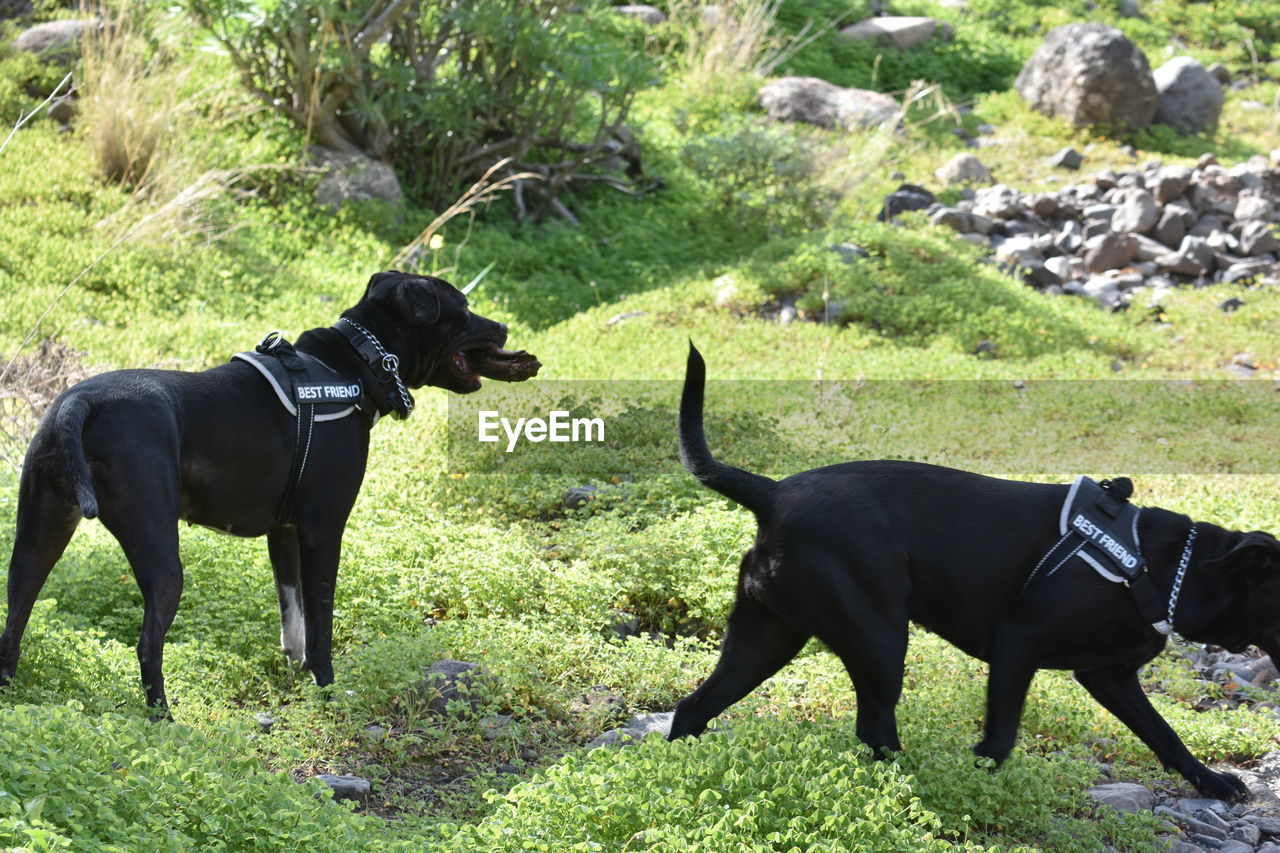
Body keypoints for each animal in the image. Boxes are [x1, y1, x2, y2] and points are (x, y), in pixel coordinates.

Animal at [0, 272, 540, 712]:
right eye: (462, 308)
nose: (504, 328)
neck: (354, 364)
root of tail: (79, 402)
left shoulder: (284, 532)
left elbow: (292, 618)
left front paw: (296, 675)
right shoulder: (324, 530)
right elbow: (321, 624)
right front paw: (326, 688)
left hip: (37, 541)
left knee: (13, 624)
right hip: (160, 556)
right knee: (148, 644)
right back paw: (165, 720)